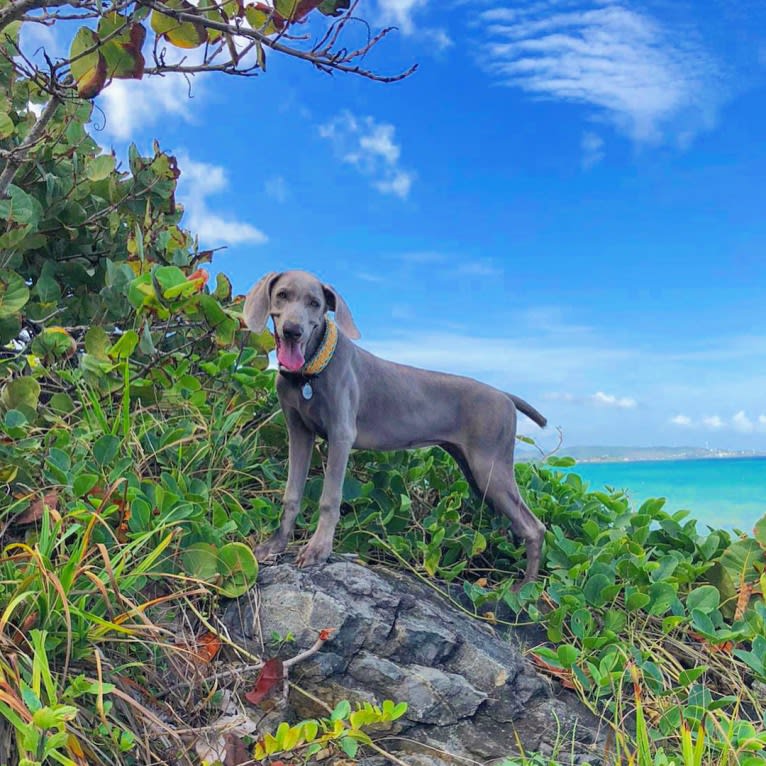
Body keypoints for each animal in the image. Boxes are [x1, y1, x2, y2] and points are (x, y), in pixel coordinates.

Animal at [243, 272, 548, 588]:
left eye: (315, 303)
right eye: (281, 295)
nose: (293, 331)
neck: (310, 371)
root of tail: (505, 395)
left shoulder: (342, 434)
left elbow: (330, 498)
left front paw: (318, 550)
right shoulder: (298, 431)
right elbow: (291, 493)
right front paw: (275, 545)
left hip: (490, 466)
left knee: (534, 527)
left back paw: (525, 587)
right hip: (475, 473)